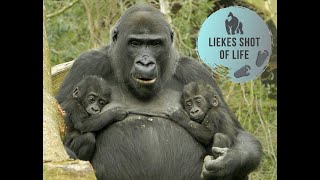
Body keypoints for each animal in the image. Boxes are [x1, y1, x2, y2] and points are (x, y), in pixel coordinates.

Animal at [57, 4, 262, 180]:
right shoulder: (86, 64)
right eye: (135, 43)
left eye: (155, 44)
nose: (145, 62)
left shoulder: (196, 71)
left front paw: (228, 162)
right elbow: (61, 134)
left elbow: (235, 132)